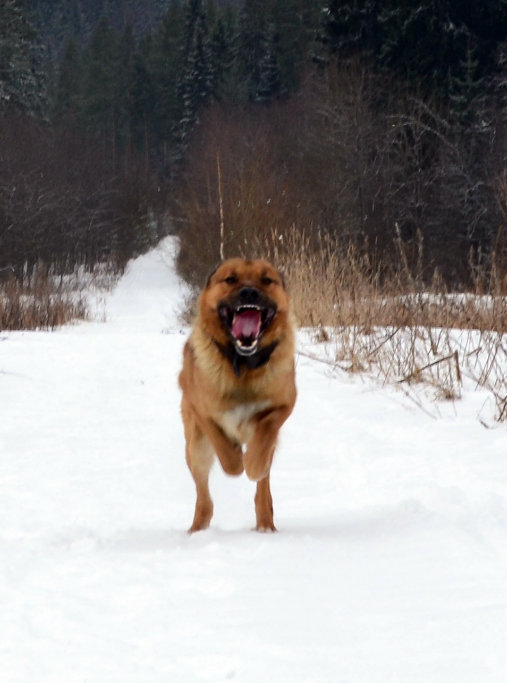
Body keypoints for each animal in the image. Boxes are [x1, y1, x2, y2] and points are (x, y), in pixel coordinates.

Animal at [180, 260, 296, 532]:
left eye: (266, 280)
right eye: (230, 279)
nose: (249, 293)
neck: (243, 363)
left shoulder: (284, 405)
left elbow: (264, 435)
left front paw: (252, 463)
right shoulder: (203, 412)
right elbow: (227, 456)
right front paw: (236, 459)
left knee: (263, 486)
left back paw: (265, 522)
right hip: (195, 448)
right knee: (204, 496)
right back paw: (197, 528)